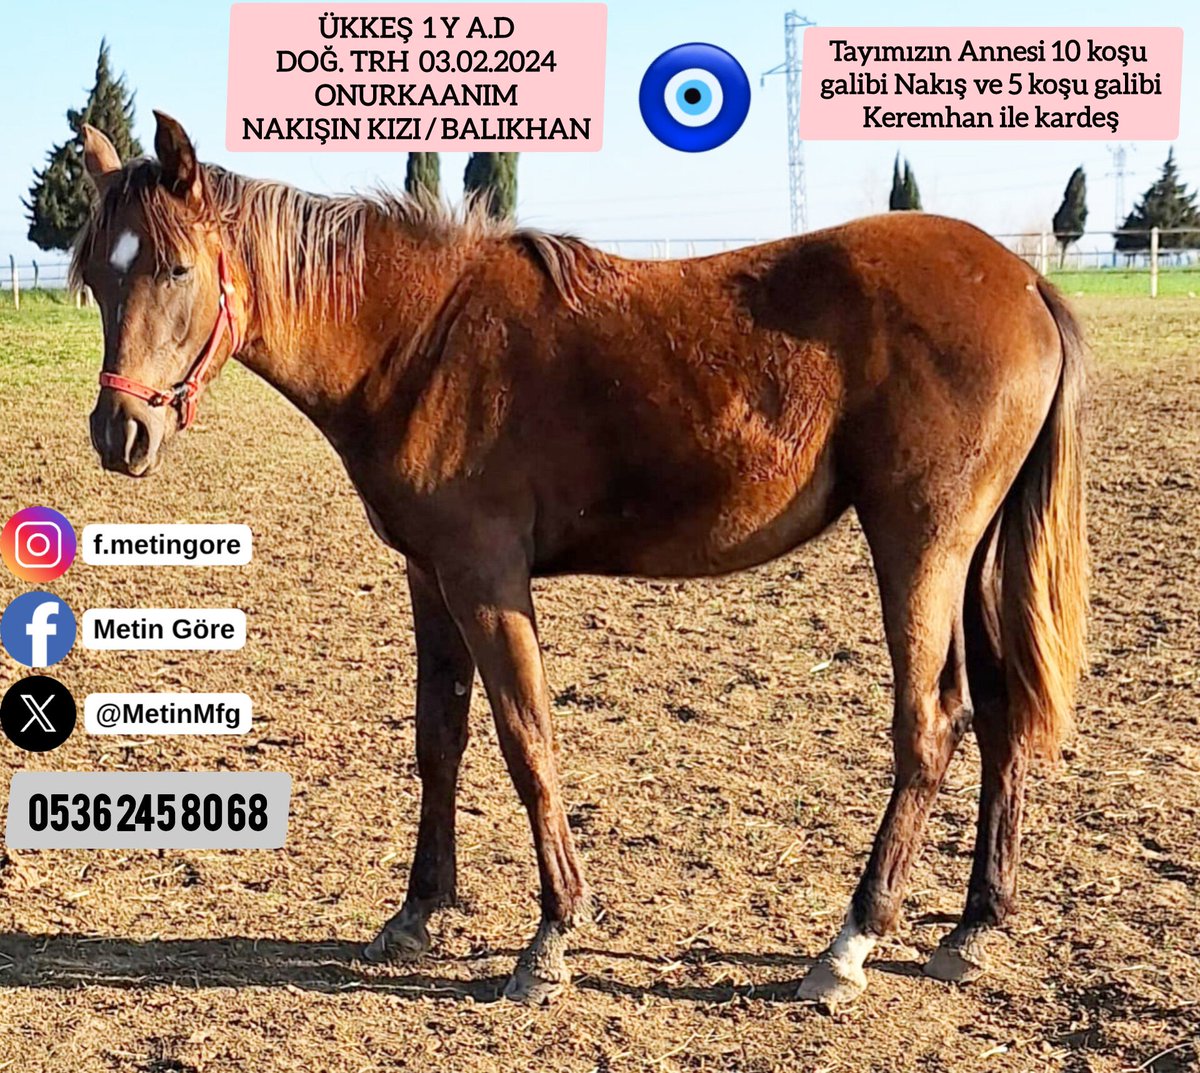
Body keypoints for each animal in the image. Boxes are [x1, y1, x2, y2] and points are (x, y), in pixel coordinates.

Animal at [76, 113, 1087, 1006]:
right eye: (93, 275)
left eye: (175, 266)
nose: (119, 432)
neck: (420, 338)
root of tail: (1024, 282)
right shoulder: (429, 575)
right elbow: (439, 737)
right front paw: (419, 911)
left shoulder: (486, 578)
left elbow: (527, 739)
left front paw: (552, 936)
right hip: (971, 556)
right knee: (1001, 714)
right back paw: (974, 924)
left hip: (920, 545)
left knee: (931, 723)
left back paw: (849, 944)